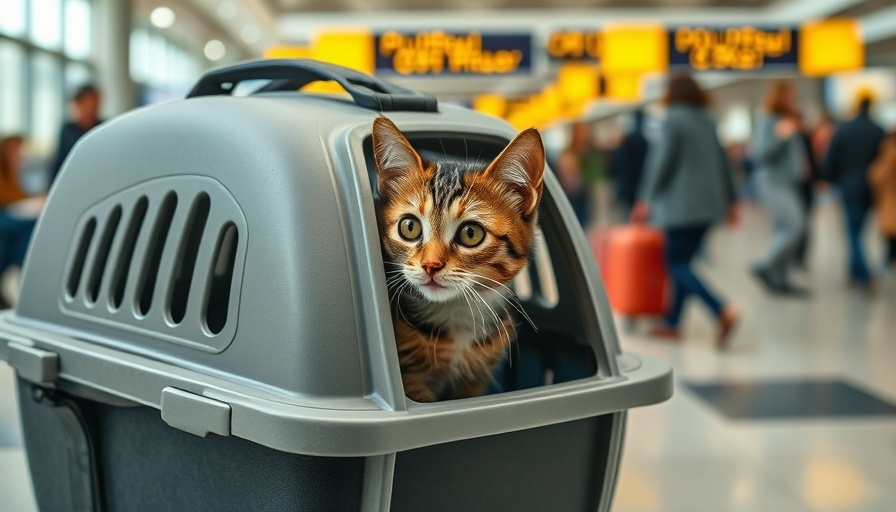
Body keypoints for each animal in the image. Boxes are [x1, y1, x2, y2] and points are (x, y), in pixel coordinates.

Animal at [372, 117, 544, 404]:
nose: (430, 265)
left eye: (470, 233)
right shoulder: (413, 382)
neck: (456, 312)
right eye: (409, 227)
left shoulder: (475, 382)